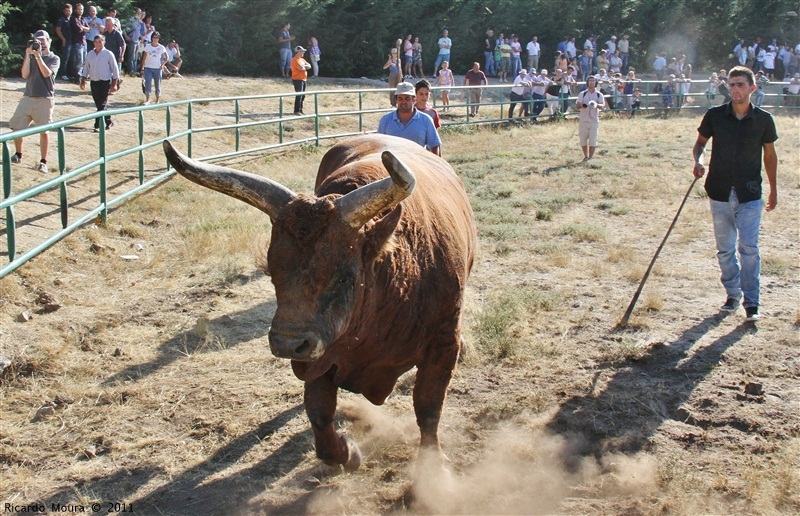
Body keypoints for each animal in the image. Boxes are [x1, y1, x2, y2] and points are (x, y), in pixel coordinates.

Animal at [162, 134, 476, 472]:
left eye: (344, 276)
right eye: (272, 271)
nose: (287, 343)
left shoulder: (444, 344)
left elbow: (428, 408)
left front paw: (434, 470)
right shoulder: (319, 353)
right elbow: (319, 410)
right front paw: (346, 452)